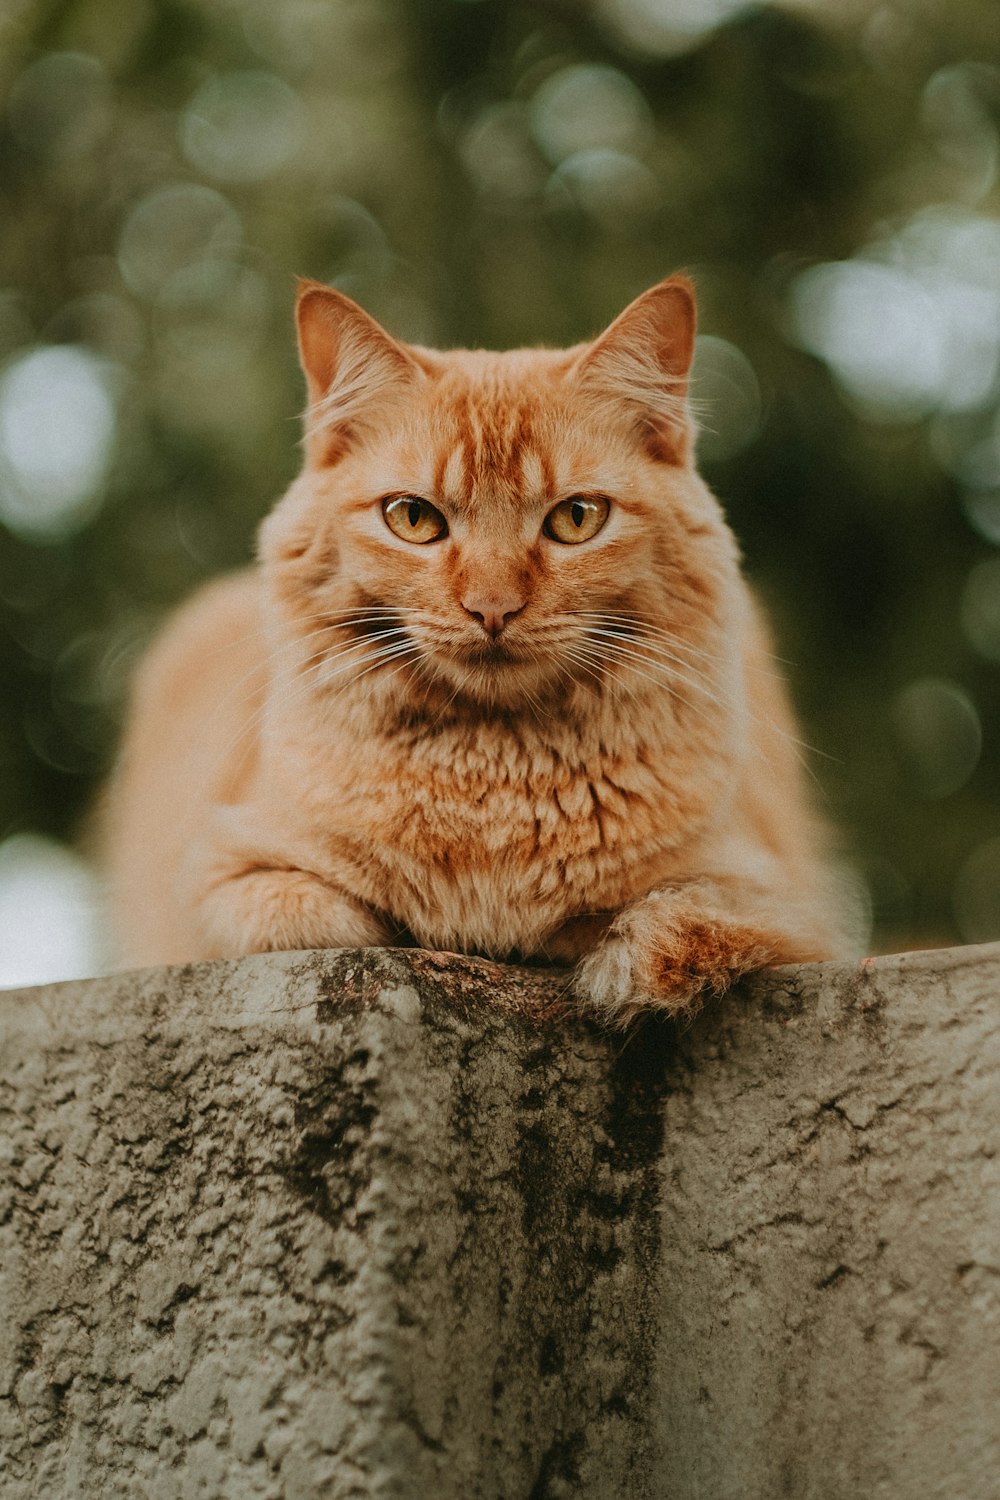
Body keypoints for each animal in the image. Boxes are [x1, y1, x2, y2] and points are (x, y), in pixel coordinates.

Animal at [105, 273, 845, 1020]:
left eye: (576, 519)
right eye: (413, 519)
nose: (493, 608)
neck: (491, 779)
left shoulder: (774, 895)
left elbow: (665, 922)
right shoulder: (221, 880)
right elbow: (332, 914)